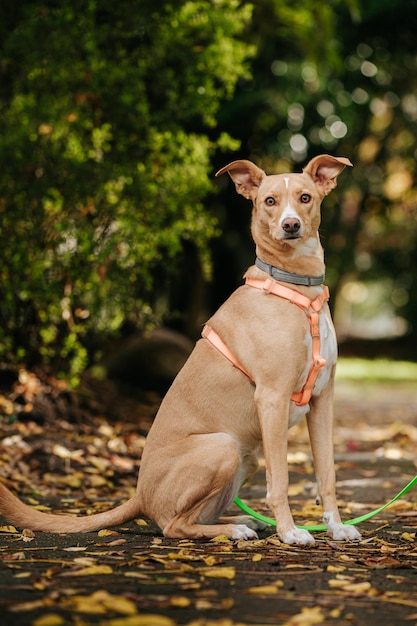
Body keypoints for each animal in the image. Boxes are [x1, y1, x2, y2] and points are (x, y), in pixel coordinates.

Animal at [0, 154, 360, 544]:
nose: (290, 225)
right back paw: (235, 527)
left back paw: (242, 522)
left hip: (245, 457)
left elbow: (327, 474)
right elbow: (279, 479)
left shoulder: (322, 401)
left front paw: (336, 526)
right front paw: (290, 532)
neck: (297, 288)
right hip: (223, 445)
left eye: (305, 197)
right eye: (269, 201)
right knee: (173, 526)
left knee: (189, 518)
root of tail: (140, 495)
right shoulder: (272, 398)